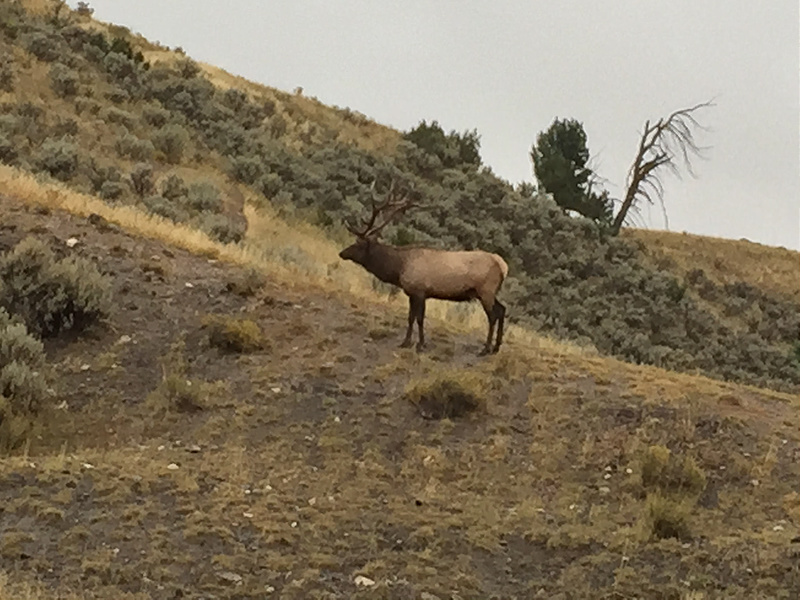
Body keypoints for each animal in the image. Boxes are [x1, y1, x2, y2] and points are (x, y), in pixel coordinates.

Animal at [336, 180, 506, 354]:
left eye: (359, 244)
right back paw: (496, 347)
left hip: (485, 290)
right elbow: (410, 317)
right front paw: (405, 342)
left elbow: (419, 319)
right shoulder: (412, 293)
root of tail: (503, 266)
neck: (399, 268)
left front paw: (420, 345)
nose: (342, 253)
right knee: (502, 310)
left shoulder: (420, 291)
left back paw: (486, 349)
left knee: (493, 315)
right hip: (487, 292)